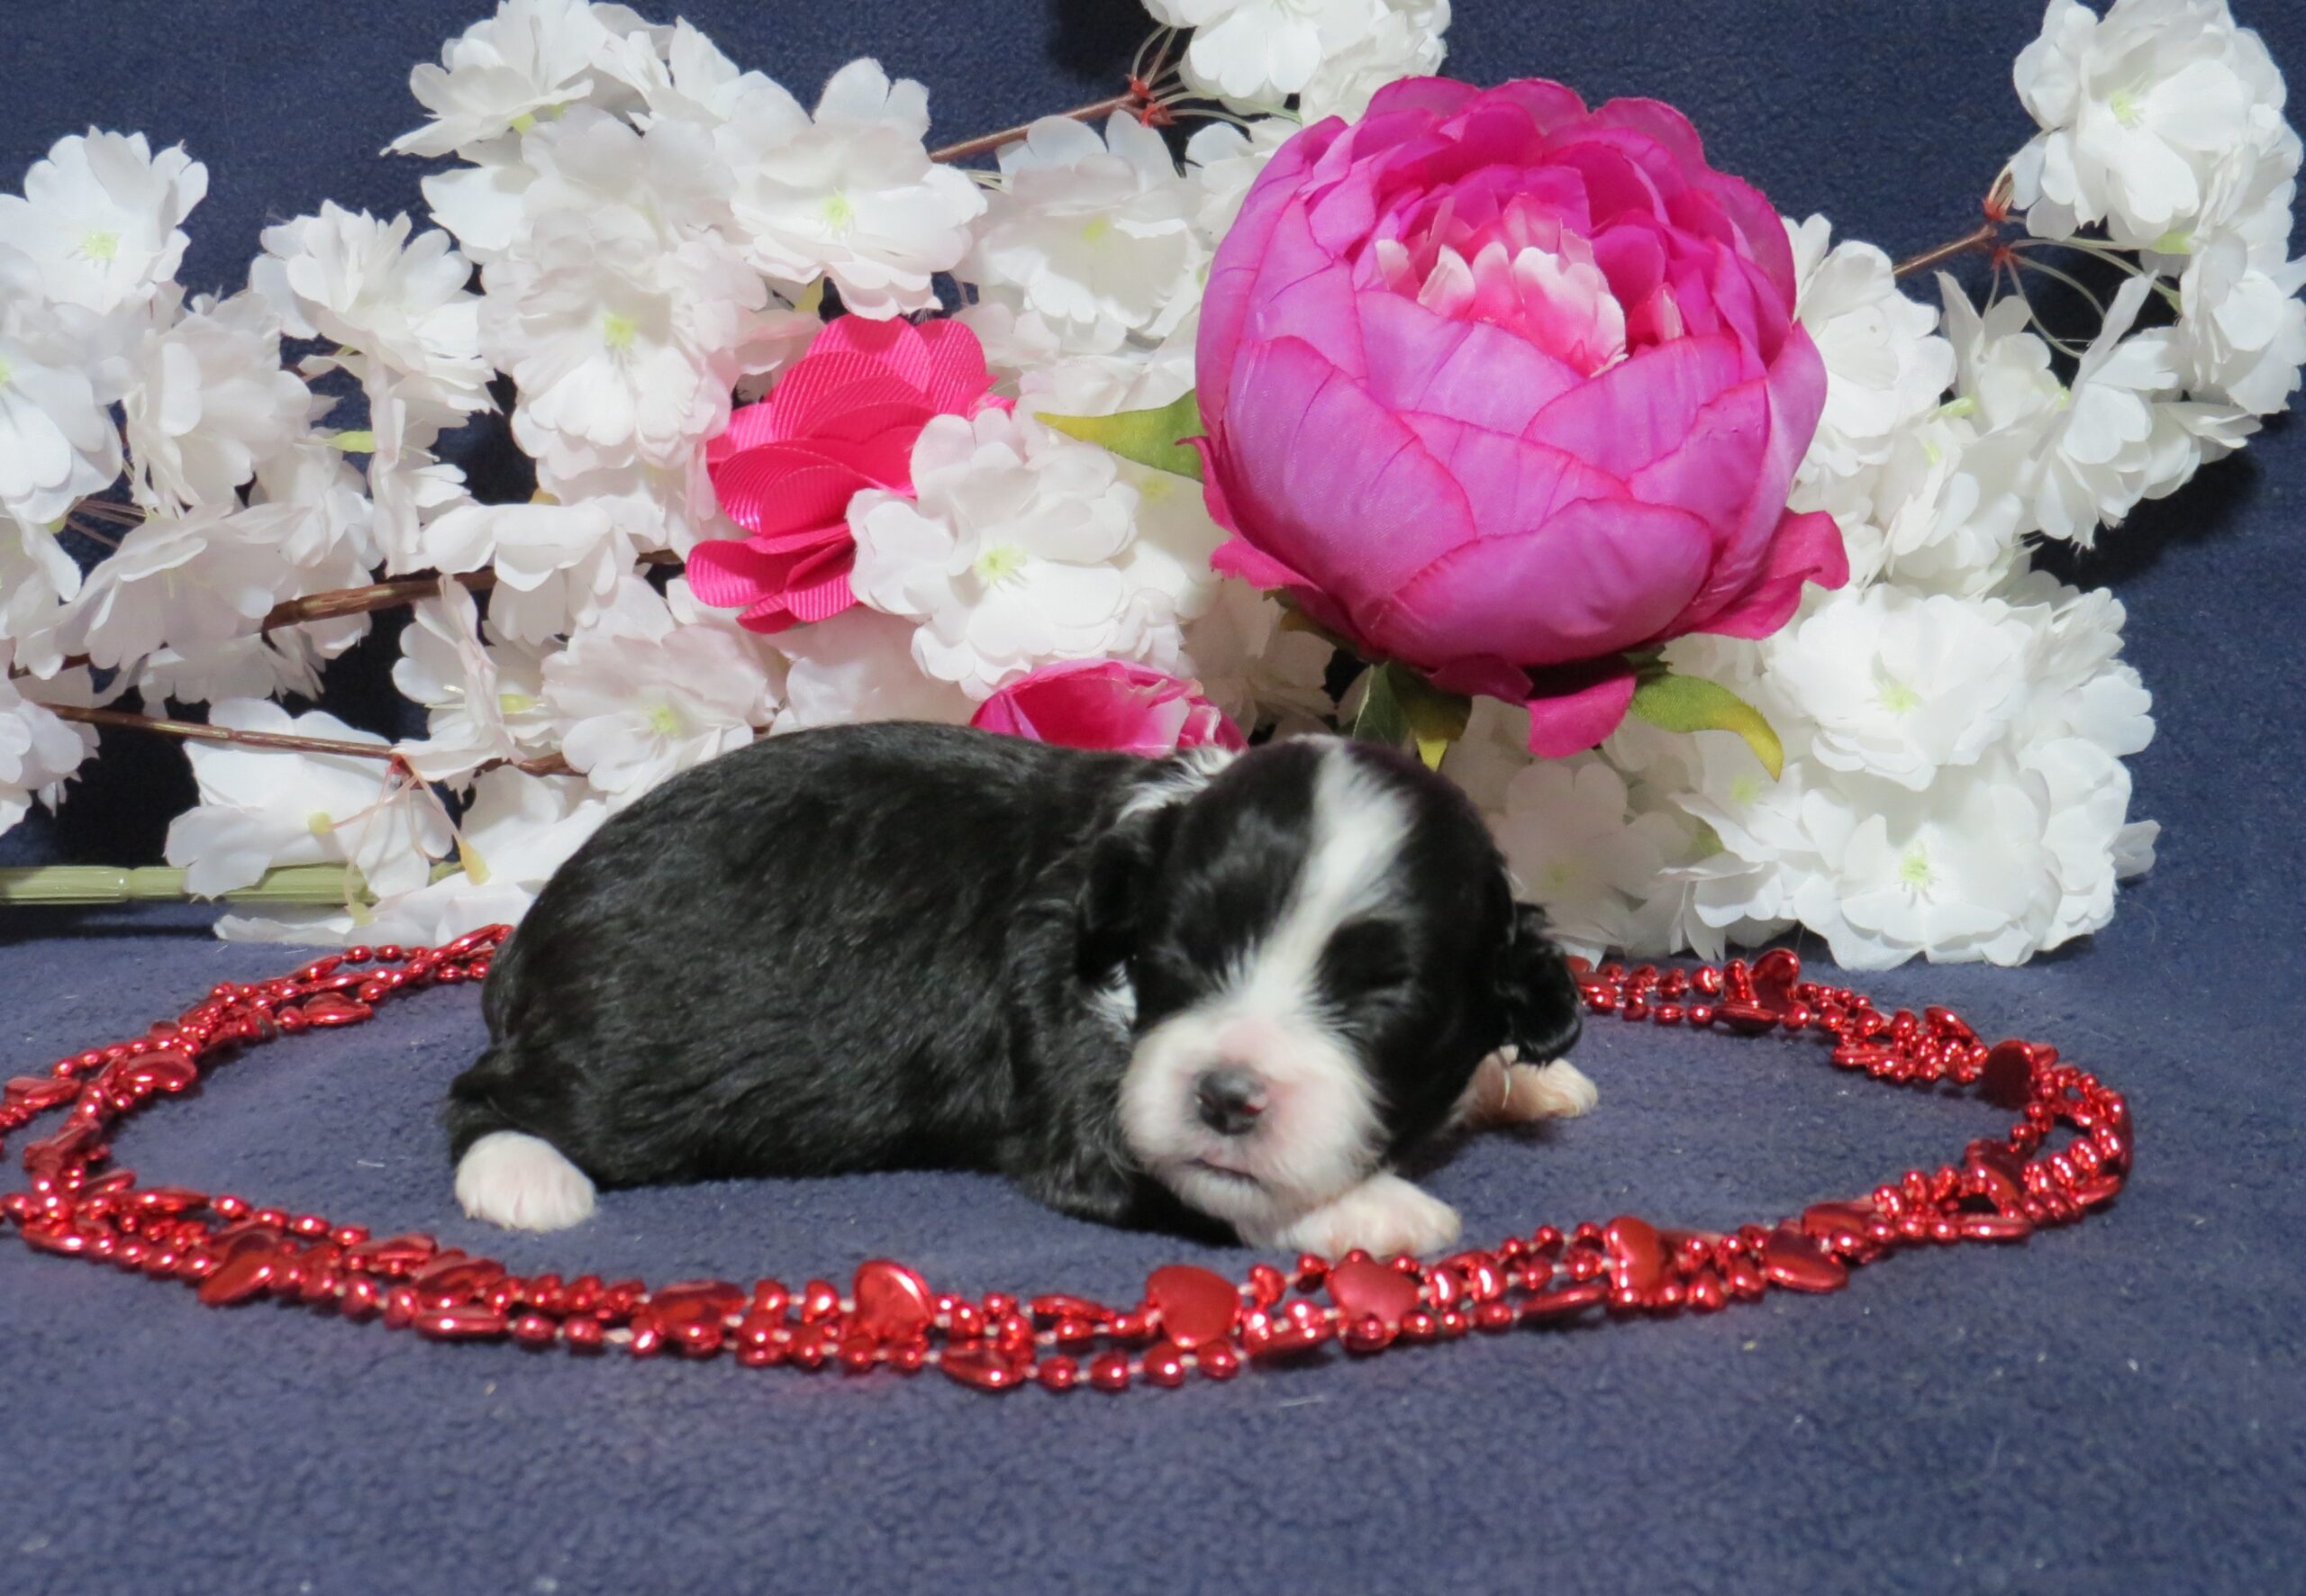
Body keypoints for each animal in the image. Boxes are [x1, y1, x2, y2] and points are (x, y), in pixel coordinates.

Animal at [446, 721, 1593, 1258]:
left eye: (1381, 1001)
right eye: (1179, 953)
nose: (1225, 1094)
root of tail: (528, 938)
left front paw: (1521, 1080)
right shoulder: (1070, 1061)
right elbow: (1198, 1175)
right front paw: (1376, 1207)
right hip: (625, 1057)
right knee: (482, 1095)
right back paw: (524, 1175)